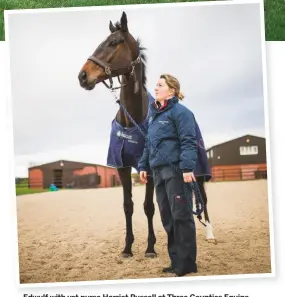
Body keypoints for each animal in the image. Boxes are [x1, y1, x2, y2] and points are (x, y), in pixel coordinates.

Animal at [77, 11, 215, 256]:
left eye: (113, 42)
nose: (83, 76)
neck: (132, 120)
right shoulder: (122, 167)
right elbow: (128, 206)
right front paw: (127, 247)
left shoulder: (149, 169)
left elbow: (149, 207)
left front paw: (150, 247)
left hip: (197, 172)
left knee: (203, 199)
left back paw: (209, 233)